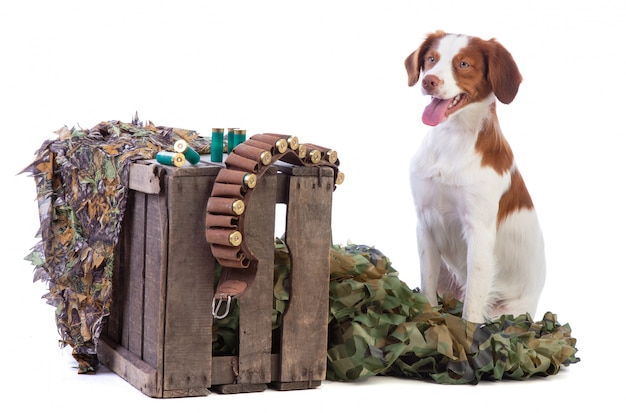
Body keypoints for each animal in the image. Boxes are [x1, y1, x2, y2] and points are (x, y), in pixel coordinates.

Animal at [402, 31, 544, 322]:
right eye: (431, 59)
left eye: (464, 64)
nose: (429, 81)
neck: (451, 140)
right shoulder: (425, 222)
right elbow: (427, 289)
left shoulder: (479, 232)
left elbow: (472, 308)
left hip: (510, 311)